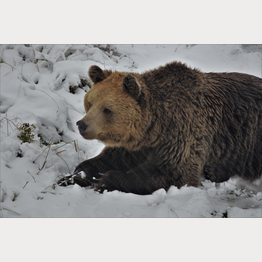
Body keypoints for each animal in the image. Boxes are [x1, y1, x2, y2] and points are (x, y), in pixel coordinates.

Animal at [57, 61, 262, 194]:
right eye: (90, 103)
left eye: (107, 109)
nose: (82, 124)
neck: (156, 127)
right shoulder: (137, 144)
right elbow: (108, 158)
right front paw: (72, 177)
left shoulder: (183, 132)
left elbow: (174, 173)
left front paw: (107, 180)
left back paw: (214, 170)